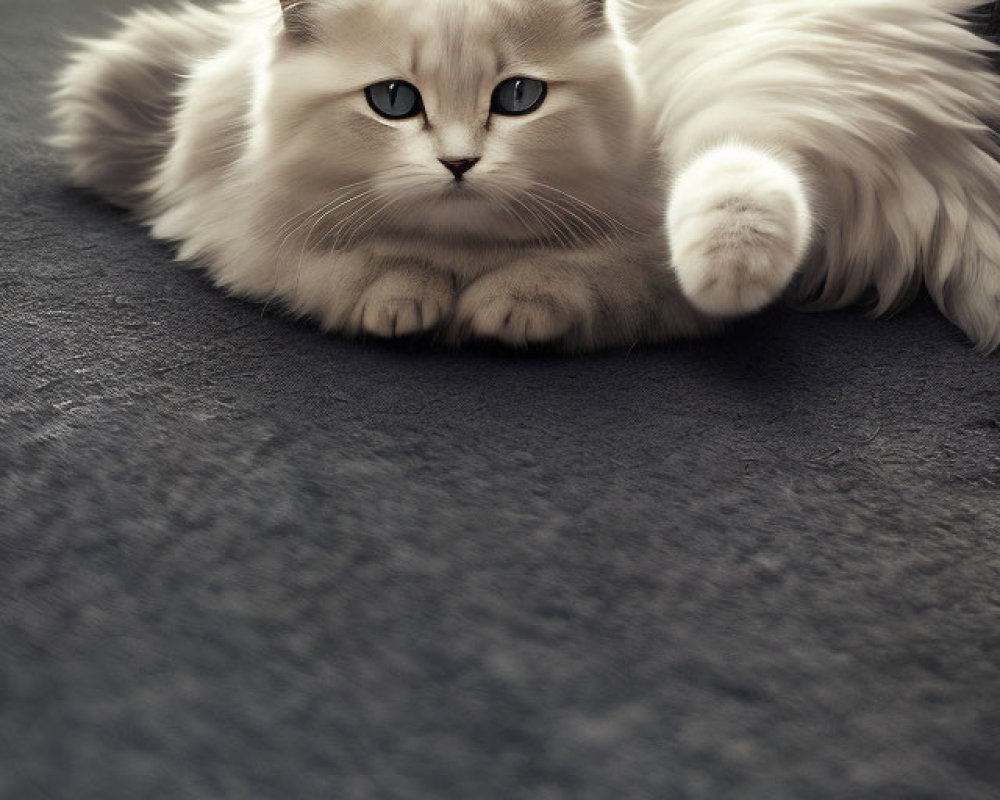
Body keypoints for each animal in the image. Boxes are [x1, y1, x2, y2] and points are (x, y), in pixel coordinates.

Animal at [50, 0, 1000, 352]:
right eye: (393, 101)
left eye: (518, 97)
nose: (460, 161)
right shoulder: (243, 227)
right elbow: (344, 269)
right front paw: (407, 300)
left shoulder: (640, 272)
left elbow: (579, 277)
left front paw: (503, 309)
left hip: (748, 90)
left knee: (746, 189)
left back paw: (729, 266)